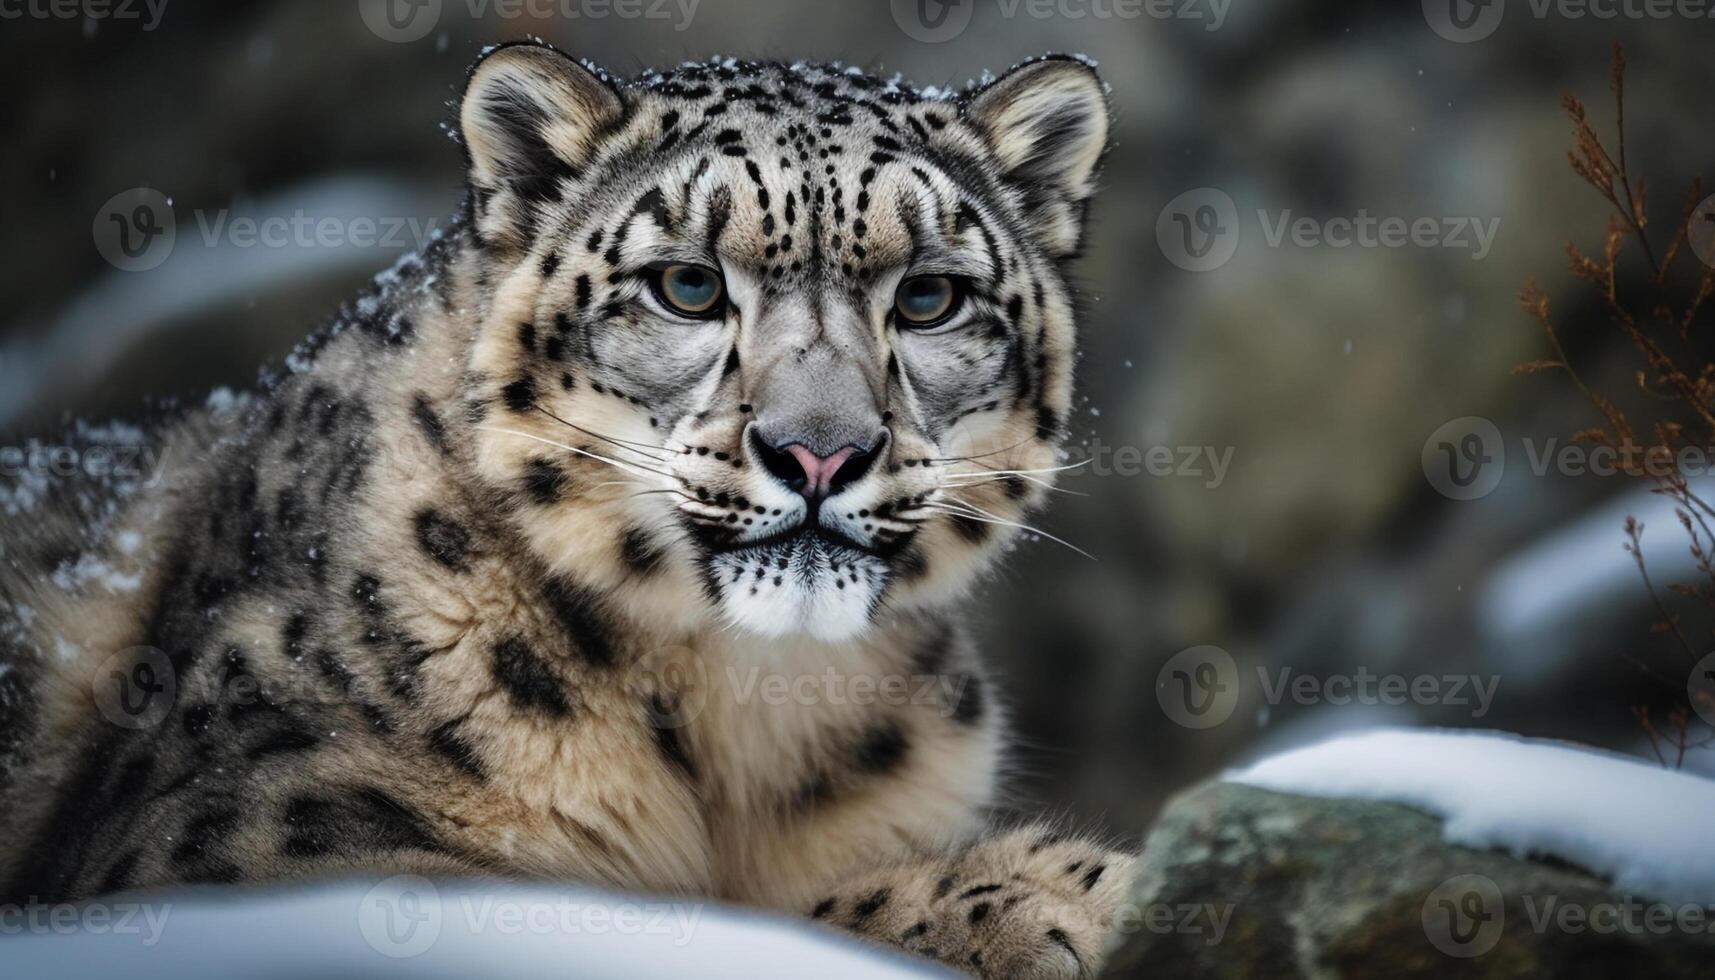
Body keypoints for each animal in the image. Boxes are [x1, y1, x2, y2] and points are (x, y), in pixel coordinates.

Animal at [0, 44, 1131, 980]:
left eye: (930, 297)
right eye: (686, 285)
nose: (821, 451)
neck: (748, 711)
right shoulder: (261, 829)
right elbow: (683, 911)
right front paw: (1050, 890)